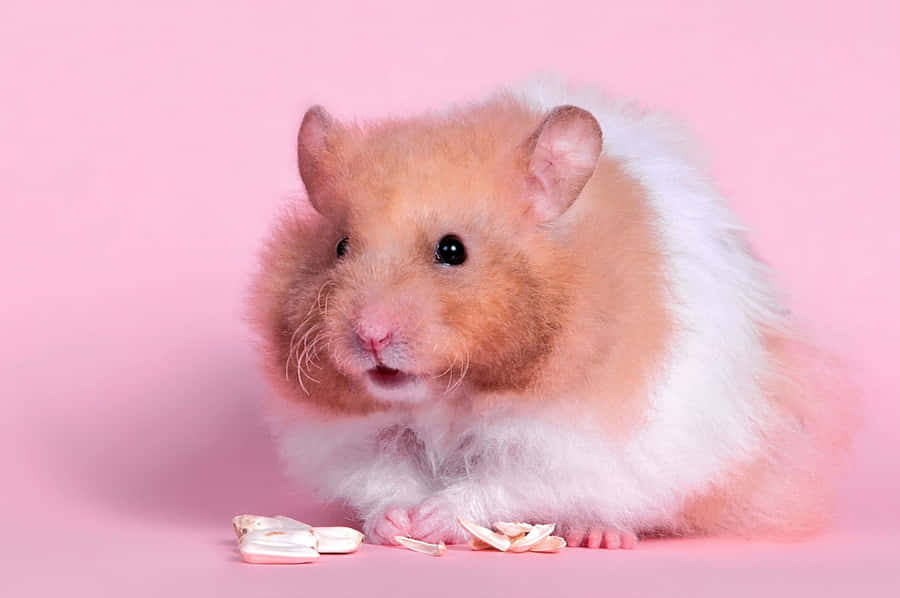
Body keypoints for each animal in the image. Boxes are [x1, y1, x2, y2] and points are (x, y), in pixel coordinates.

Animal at [249, 79, 852, 549]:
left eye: (452, 250)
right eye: (340, 247)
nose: (370, 336)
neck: (451, 395)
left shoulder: (567, 442)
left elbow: (502, 482)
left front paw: (435, 518)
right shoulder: (355, 438)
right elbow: (383, 477)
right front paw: (398, 522)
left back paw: (598, 534)